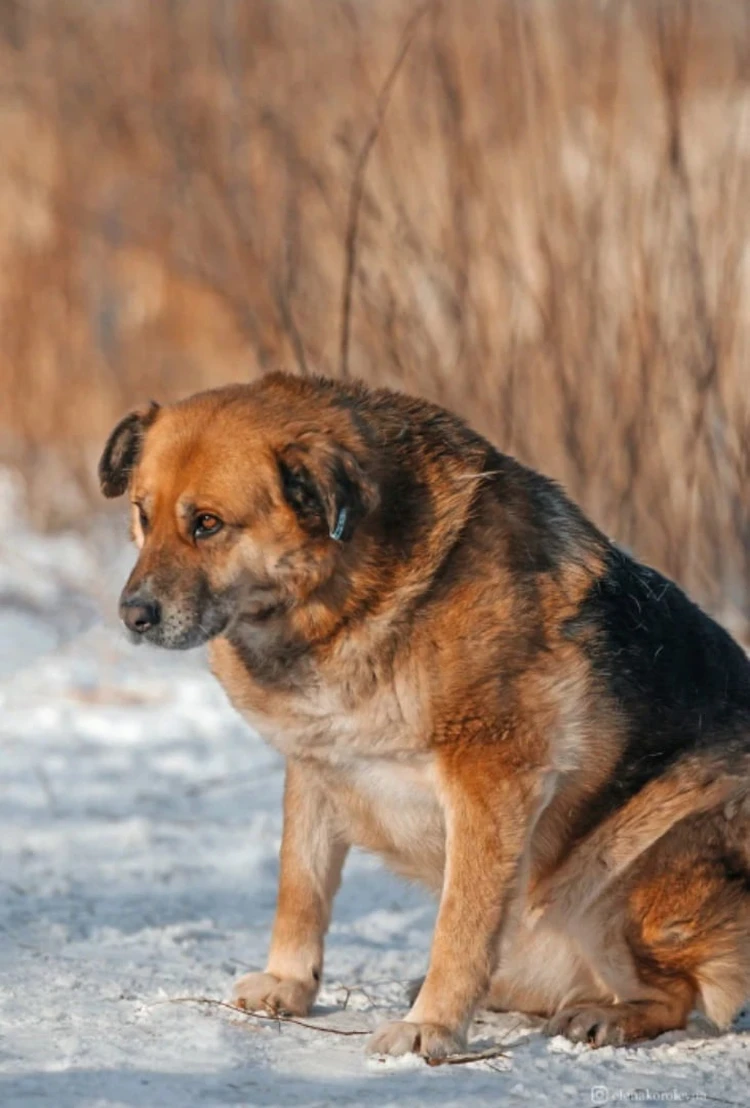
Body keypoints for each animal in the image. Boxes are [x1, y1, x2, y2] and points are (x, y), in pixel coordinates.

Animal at [98, 370, 748, 1054]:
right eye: (143, 515)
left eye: (208, 523)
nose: (133, 616)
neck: (346, 601)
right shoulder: (315, 767)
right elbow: (300, 886)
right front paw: (289, 982)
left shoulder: (491, 783)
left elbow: (460, 925)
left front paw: (431, 1024)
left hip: (632, 869)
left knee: (675, 995)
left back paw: (608, 1014)